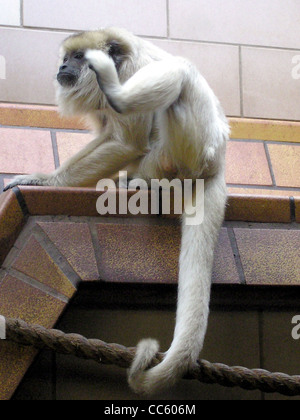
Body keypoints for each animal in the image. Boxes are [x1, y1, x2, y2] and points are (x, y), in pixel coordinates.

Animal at [3, 27, 229, 398]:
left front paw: (46, 180)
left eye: (78, 57)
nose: (63, 66)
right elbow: (111, 136)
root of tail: (218, 164)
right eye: (66, 57)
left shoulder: (131, 70)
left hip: (188, 149)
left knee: (181, 72)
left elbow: (126, 142)